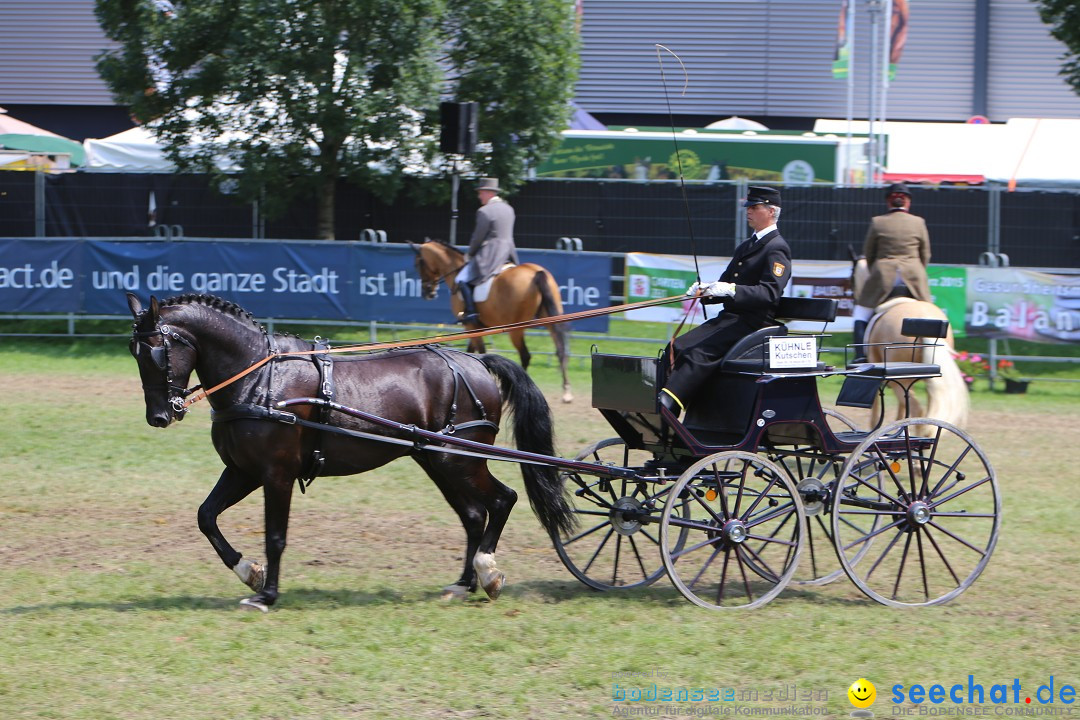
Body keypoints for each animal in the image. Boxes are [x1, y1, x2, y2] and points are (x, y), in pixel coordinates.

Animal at [125, 293, 574, 613]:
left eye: (159, 350)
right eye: (134, 352)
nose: (159, 416)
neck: (259, 377)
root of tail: (475, 361)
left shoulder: (275, 475)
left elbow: (275, 536)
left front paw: (266, 595)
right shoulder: (243, 471)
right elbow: (207, 517)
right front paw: (248, 572)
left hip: (457, 459)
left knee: (502, 500)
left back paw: (488, 572)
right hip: (436, 461)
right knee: (473, 515)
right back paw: (463, 583)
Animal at [406, 237, 574, 403]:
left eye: (418, 263)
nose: (428, 293)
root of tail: (536, 272)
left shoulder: (470, 325)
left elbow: (480, 351)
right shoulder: (476, 326)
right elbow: (470, 351)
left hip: (515, 329)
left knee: (525, 355)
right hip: (550, 321)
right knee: (560, 351)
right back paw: (566, 392)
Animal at [851, 257, 972, 431]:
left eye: (852, 278)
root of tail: (924, 316)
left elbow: (876, 405)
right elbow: (902, 408)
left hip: (902, 379)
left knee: (917, 410)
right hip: (931, 381)